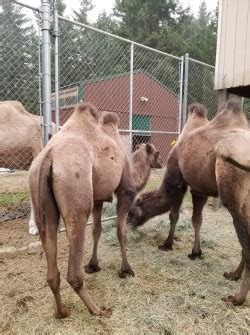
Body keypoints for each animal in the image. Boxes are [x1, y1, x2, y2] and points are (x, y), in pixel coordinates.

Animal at [29, 103, 162, 318]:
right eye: (156, 153)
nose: (162, 161)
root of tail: (48, 157)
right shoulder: (125, 192)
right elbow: (121, 231)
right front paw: (126, 270)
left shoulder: (99, 198)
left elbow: (97, 230)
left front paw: (93, 265)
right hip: (76, 191)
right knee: (73, 270)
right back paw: (98, 310)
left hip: (40, 199)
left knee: (50, 254)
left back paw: (62, 311)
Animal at [128, 101, 249, 308]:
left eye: (132, 211)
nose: (128, 224)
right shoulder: (200, 190)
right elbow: (197, 220)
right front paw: (196, 252)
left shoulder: (179, 181)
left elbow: (174, 215)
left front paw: (167, 244)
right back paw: (233, 274)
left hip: (233, 196)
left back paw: (237, 297)